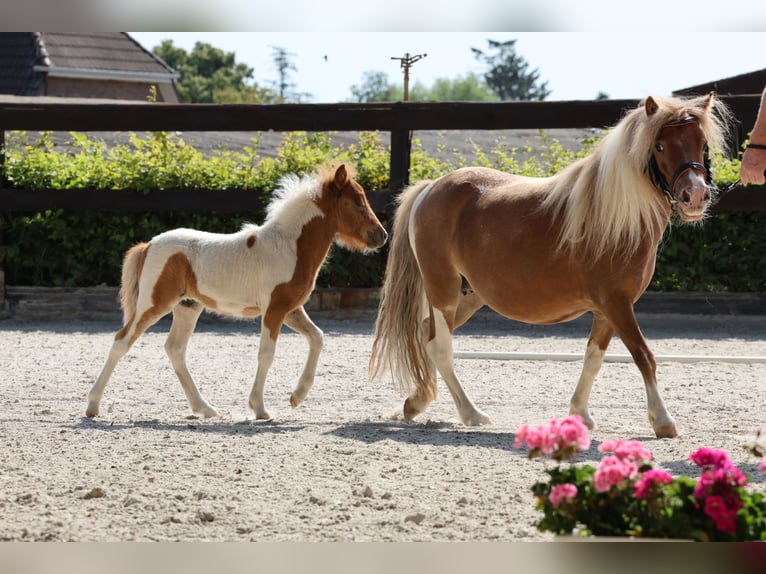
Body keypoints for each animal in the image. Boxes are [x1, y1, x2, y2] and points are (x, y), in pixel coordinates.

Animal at [86, 163, 387, 420]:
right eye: (357, 201)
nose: (381, 235)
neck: (289, 246)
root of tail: (148, 244)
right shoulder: (274, 310)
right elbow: (266, 354)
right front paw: (260, 408)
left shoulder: (290, 309)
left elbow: (318, 337)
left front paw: (297, 396)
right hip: (153, 304)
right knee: (122, 340)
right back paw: (92, 405)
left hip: (187, 307)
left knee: (175, 349)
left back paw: (205, 408)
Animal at [369, 93, 731, 439]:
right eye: (659, 145)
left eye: (702, 143)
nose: (695, 196)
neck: (616, 217)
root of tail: (429, 189)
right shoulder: (617, 304)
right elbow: (644, 356)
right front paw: (663, 420)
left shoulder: (606, 311)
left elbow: (593, 359)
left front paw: (580, 414)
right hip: (443, 291)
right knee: (439, 346)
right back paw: (471, 413)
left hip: (469, 296)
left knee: (424, 335)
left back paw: (416, 401)